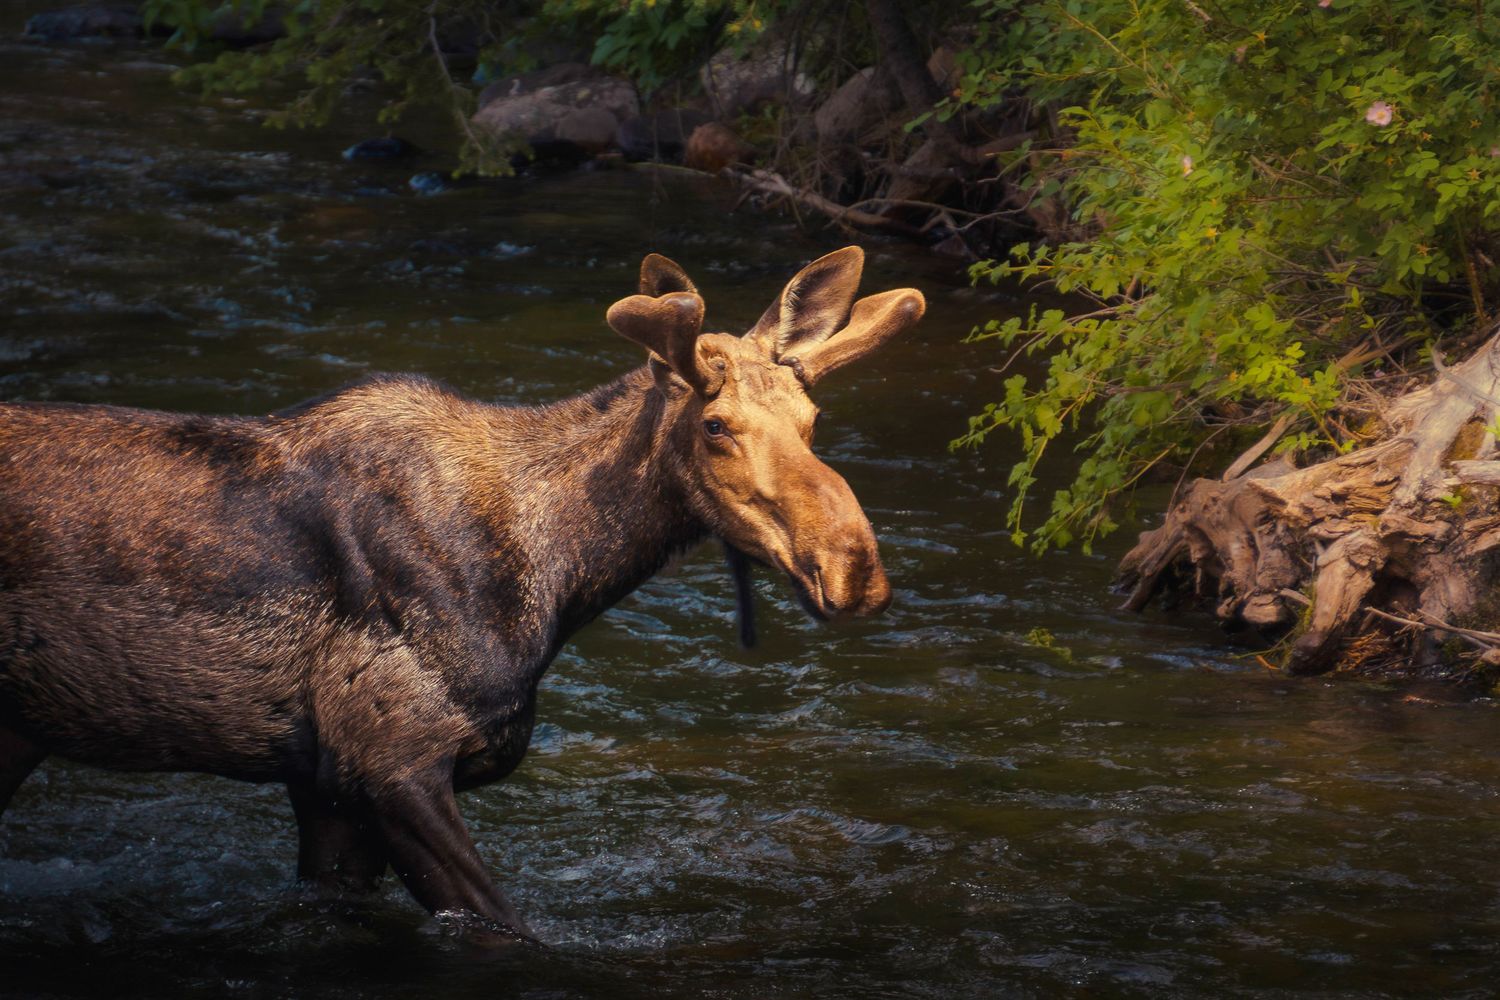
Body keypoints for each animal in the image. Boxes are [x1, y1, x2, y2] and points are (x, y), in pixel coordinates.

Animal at [0, 246, 924, 939]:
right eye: (715, 425)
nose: (854, 568)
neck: (559, 581)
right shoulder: (392, 761)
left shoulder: (328, 788)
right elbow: (509, 928)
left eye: (812, 421)